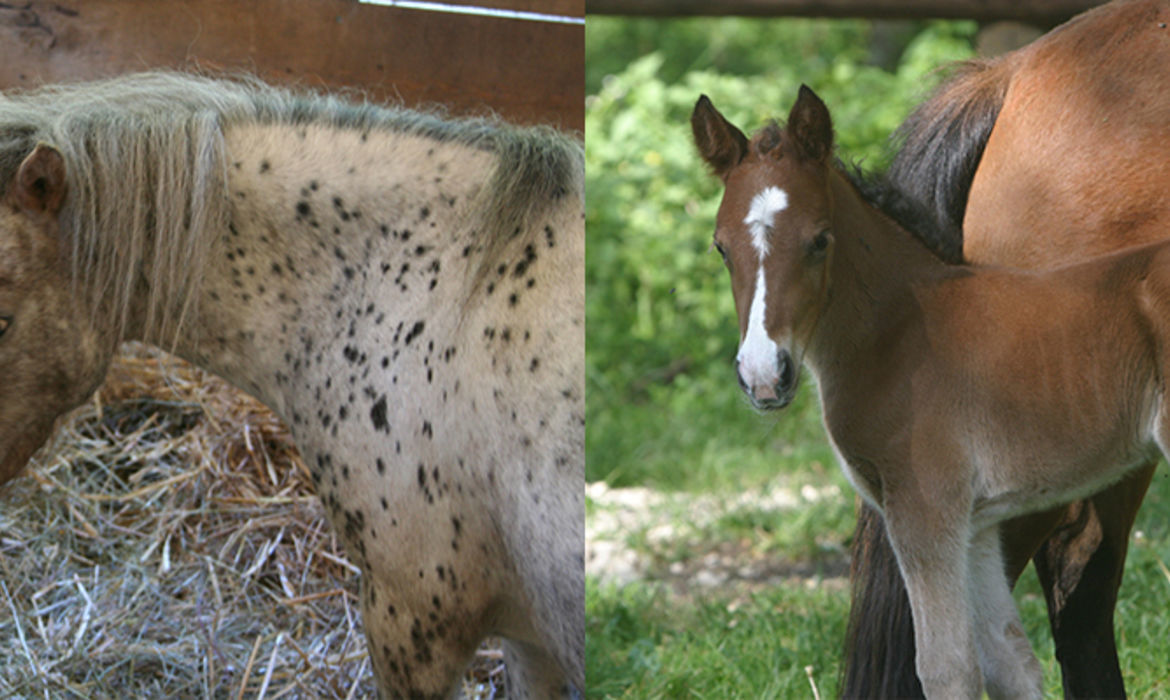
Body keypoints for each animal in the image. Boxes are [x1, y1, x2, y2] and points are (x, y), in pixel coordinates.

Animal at [687, 84, 1165, 697]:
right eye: (721, 247)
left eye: (820, 240)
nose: (764, 375)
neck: (901, 330)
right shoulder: (978, 522)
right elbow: (1008, 660)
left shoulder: (924, 508)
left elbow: (946, 668)